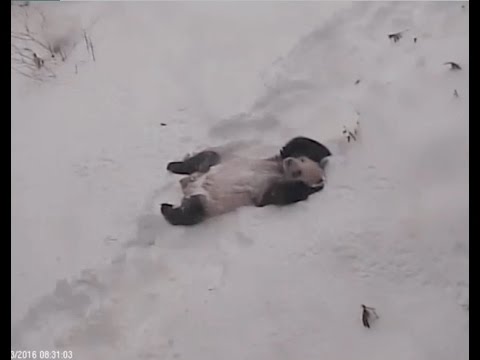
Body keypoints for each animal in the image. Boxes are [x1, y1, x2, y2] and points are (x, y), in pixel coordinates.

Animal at [159, 136, 332, 225]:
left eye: (298, 171)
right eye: (301, 160)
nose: (290, 162)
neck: (279, 171)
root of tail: (189, 187)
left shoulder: (264, 192)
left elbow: (281, 194)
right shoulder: (274, 160)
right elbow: (300, 145)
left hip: (209, 203)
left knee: (191, 212)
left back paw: (167, 209)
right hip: (214, 163)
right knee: (205, 158)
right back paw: (174, 166)